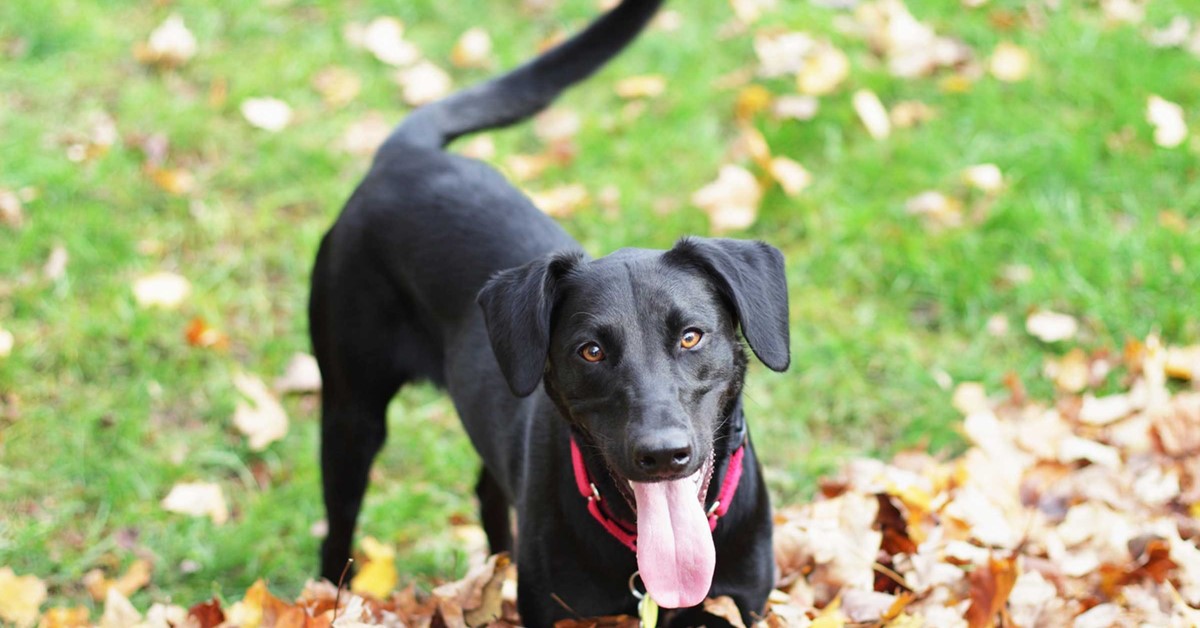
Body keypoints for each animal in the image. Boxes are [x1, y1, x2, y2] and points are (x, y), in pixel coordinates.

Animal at [309, 1, 787, 624]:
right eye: (591, 351)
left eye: (691, 337)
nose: (662, 454)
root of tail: (405, 155)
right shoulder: (552, 608)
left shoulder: (746, 603)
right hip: (351, 412)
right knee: (337, 528)